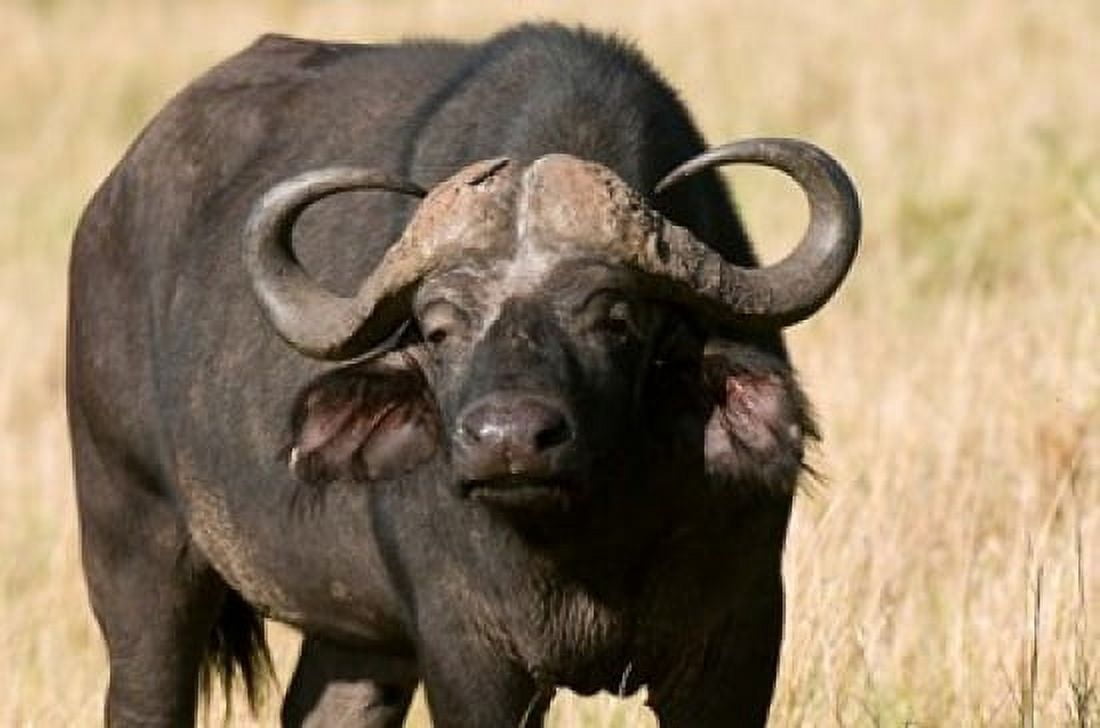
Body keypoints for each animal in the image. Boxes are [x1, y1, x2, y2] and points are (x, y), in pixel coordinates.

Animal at [68, 23, 859, 727]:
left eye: (616, 319)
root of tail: (108, 209)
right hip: (133, 543)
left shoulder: (737, 638)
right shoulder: (471, 652)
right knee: (145, 697)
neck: (589, 538)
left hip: (360, 638)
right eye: (440, 329)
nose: (509, 440)